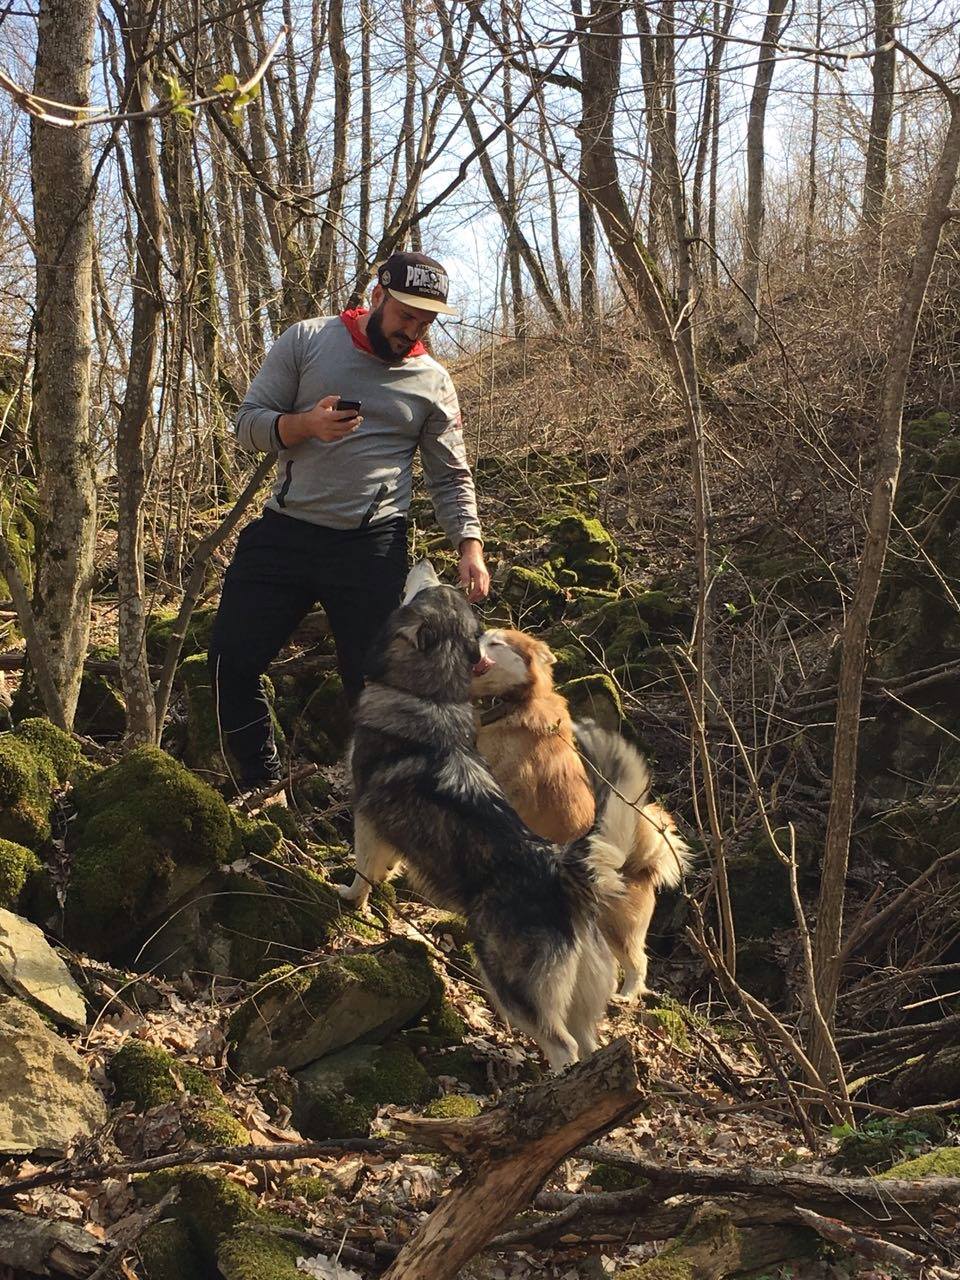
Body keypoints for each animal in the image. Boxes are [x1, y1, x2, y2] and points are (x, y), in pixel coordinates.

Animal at [335, 560, 642, 1070]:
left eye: (426, 589)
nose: (426, 561)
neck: (431, 698)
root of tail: (565, 875)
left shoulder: (367, 816)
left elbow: (364, 869)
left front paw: (349, 897)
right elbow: (387, 866)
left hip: (511, 983)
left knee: (562, 1045)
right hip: (581, 997)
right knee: (587, 1045)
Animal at [476, 629, 691, 998]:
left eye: (496, 643)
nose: (473, 634)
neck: (509, 705)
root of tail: (638, 867)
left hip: (615, 928)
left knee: (638, 963)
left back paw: (626, 995)